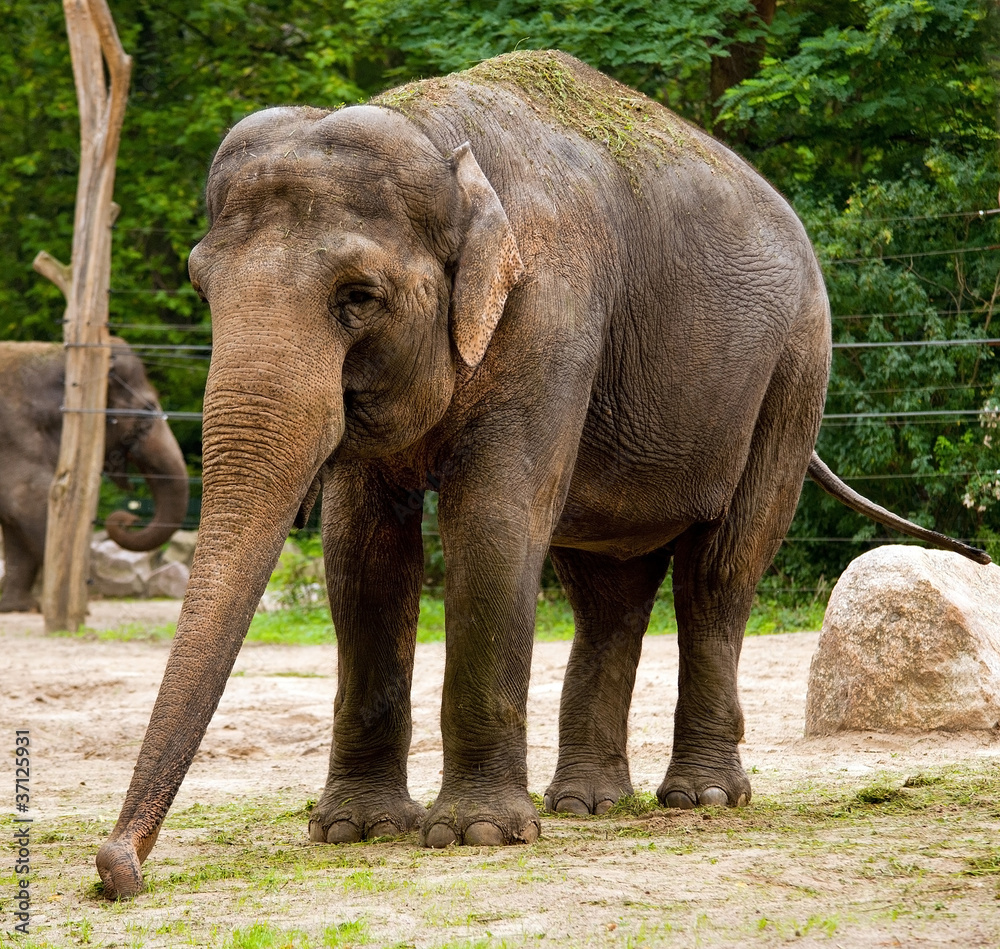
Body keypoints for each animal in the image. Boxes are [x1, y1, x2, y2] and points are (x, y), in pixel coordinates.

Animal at [0, 337, 189, 612]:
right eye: (146, 411)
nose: (128, 518)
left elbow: (16, 524)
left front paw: (17, 607)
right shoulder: (16, 439)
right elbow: (32, 505)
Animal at [95, 50, 988, 898]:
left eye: (358, 296)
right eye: (202, 286)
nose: (115, 868)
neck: (438, 137)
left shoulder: (552, 312)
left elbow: (492, 520)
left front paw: (477, 835)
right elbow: (363, 555)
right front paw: (354, 830)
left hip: (793, 372)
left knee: (720, 572)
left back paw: (699, 798)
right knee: (607, 593)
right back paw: (587, 804)